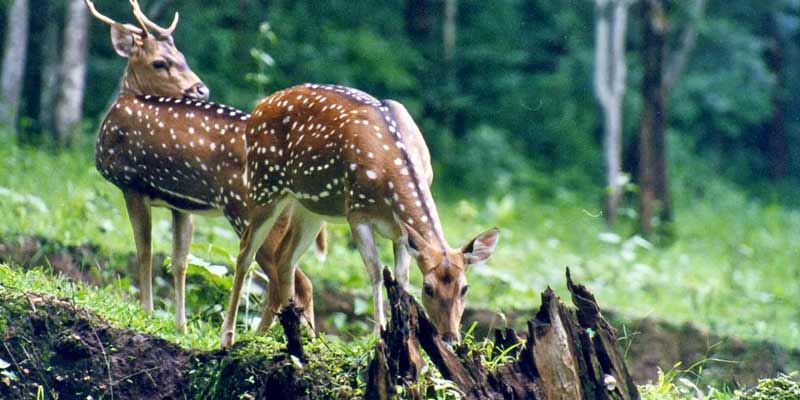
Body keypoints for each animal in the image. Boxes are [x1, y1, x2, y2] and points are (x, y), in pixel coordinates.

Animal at [86, 0, 324, 332]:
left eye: (181, 58)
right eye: (160, 62)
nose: (201, 90)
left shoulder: (131, 183)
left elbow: (144, 251)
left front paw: (146, 311)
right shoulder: (181, 204)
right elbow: (180, 261)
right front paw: (180, 325)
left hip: (246, 210)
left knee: (289, 280)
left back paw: (262, 336)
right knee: (295, 280)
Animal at [220, 83, 500, 346]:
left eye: (465, 288)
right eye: (428, 288)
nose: (451, 337)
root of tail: (257, 108)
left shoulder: (400, 232)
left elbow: (401, 279)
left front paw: (407, 337)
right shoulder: (357, 213)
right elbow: (375, 272)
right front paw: (378, 334)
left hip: (307, 206)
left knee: (284, 258)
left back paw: (301, 337)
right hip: (263, 186)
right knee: (245, 252)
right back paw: (228, 337)